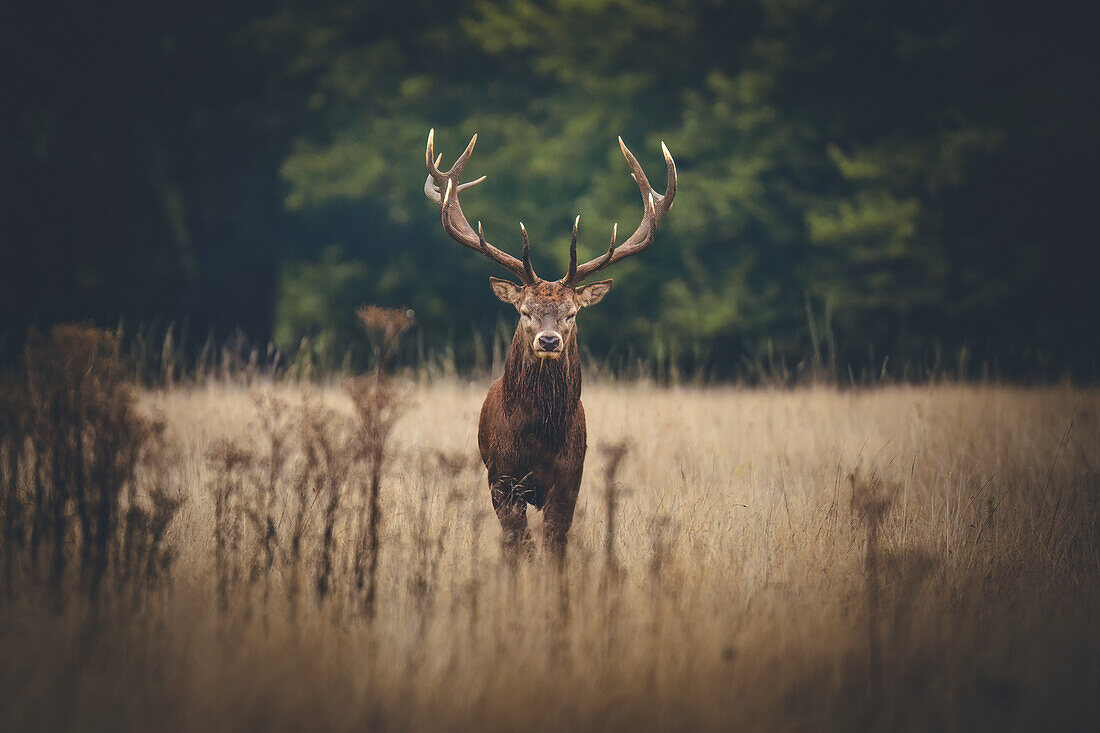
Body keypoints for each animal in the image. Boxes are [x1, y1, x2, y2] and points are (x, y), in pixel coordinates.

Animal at [424, 128, 673, 559]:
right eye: (524, 311)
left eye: (572, 313)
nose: (549, 339)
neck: (539, 438)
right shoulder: (501, 477)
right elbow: (516, 541)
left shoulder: (570, 476)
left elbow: (555, 540)